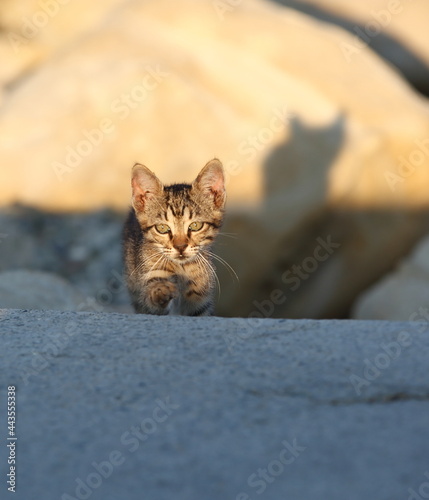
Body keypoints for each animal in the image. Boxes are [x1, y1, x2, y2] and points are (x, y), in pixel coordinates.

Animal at [122, 159, 226, 316]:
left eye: (195, 225)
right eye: (162, 228)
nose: (180, 247)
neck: (182, 268)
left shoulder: (201, 300)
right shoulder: (150, 273)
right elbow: (152, 295)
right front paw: (160, 290)